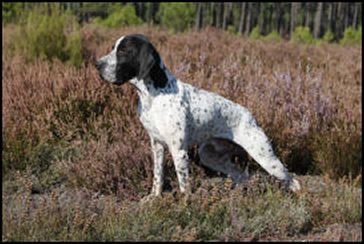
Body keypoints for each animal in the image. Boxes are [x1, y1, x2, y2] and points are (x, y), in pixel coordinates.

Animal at [95, 34, 300, 198]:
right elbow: (158, 177)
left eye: (123, 51)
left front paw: (185, 206)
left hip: (265, 157)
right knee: (241, 176)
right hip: (209, 155)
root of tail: (250, 115)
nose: (97, 64)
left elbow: (184, 185)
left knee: (292, 180)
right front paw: (154, 198)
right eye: (113, 48)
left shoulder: (178, 150)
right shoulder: (157, 145)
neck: (153, 96)